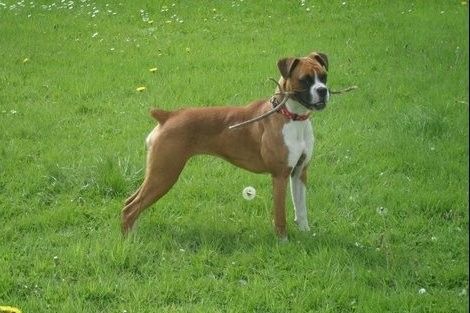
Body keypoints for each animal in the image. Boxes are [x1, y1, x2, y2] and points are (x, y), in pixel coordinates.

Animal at [123, 51, 332, 239]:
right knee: (131, 208)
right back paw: (129, 241)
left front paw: (306, 233)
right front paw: (283, 242)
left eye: (323, 76)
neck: (291, 116)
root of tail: (167, 116)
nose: (323, 90)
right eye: (304, 80)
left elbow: (301, 208)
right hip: (164, 174)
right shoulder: (279, 176)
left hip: (158, 174)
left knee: (131, 202)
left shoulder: (299, 172)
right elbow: (280, 215)